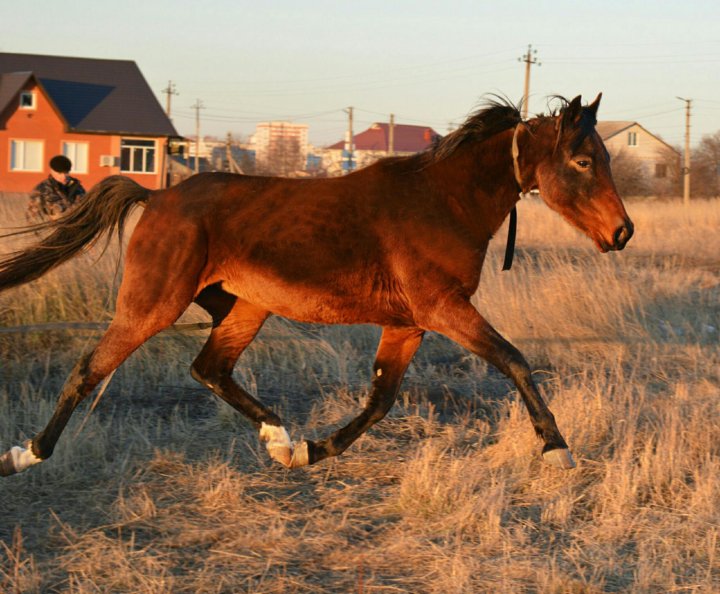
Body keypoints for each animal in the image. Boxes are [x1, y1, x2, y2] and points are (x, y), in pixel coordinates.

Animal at [0, 96, 632, 476]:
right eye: (582, 161)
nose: (622, 231)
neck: (442, 202)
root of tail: (156, 196)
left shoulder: (408, 324)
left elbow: (380, 401)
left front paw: (311, 451)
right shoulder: (443, 309)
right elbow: (514, 359)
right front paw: (557, 450)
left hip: (246, 308)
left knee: (209, 368)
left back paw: (280, 438)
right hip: (153, 304)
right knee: (90, 369)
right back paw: (24, 455)